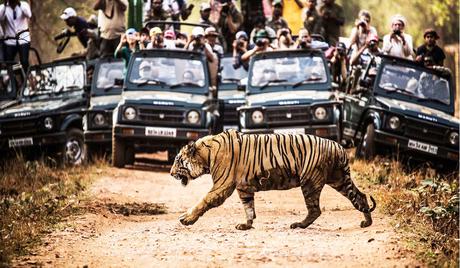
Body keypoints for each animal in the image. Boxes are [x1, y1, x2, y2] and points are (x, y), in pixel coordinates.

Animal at [171, 130, 376, 230]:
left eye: (178, 161)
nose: (171, 174)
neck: (205, 154)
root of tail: (339, 147)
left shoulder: (222, 186)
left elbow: (203, 201)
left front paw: (186, 219)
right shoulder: (244, 188)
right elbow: (249, 207)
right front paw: (246, 225)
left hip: (310, 182)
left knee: (315, 209)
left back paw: (298, 225)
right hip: (338, 179)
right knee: (360, 196)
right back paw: (366, 223)